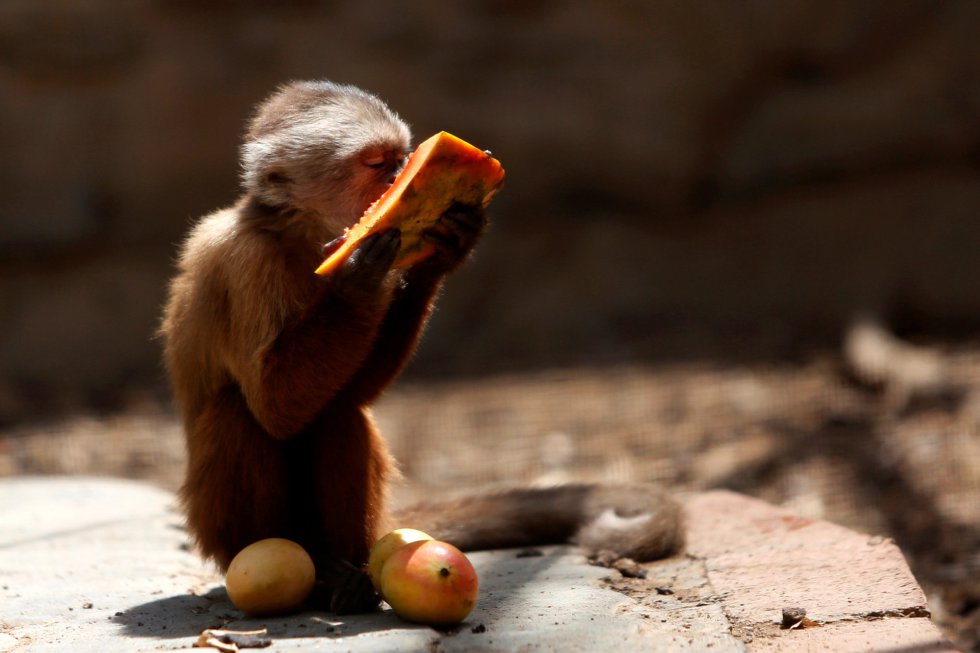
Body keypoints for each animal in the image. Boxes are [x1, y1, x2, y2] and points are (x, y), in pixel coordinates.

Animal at [160, 80, 683, 614]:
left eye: (402, 158)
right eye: (377, 164)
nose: (400, 175)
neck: (299, 234)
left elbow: (351, 393)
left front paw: (442, 251)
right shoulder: (243, 263)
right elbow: (275, 408)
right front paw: (356, 282)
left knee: (339, 411)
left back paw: (349, 574)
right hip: (219, 536)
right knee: (239, 412)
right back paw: (314, 569)